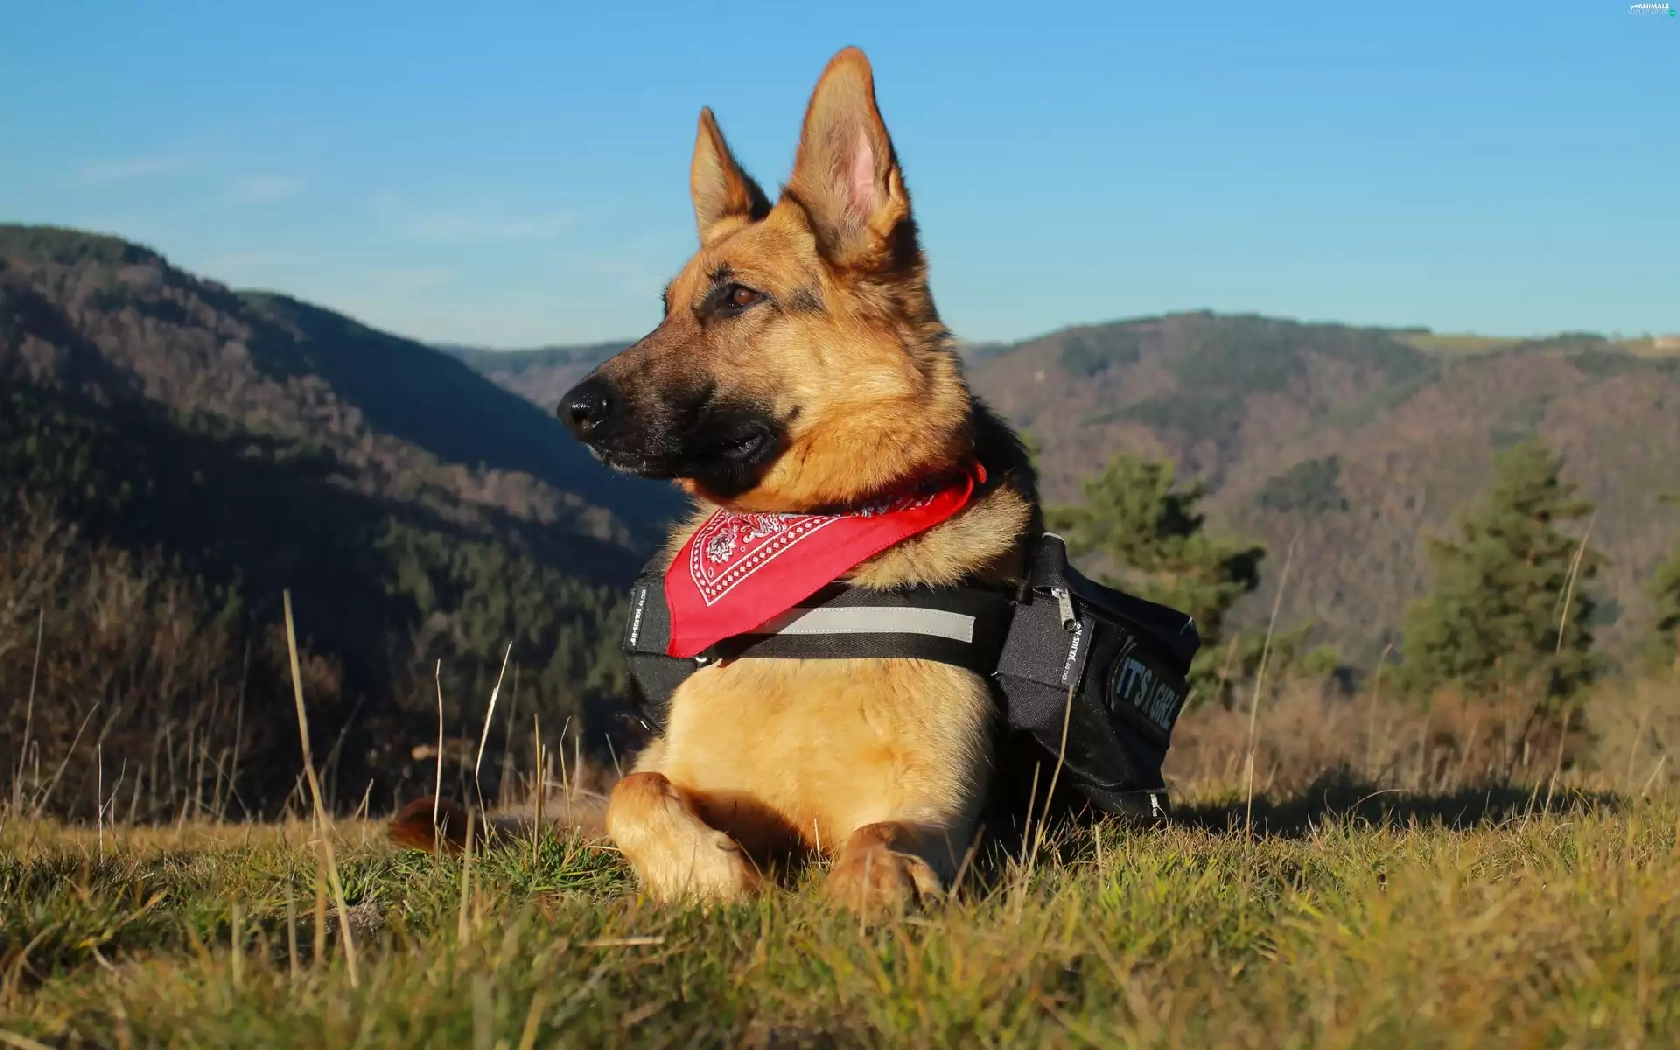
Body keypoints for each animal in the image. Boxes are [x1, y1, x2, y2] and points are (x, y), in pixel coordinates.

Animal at [393, 46, 1043, 915]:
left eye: (738, 296)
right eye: (664, 307)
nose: (571, 411)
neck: (813, 554)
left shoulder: (939, 807)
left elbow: (881, 836)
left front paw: (869, 892)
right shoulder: (669, 771)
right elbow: (634, 792)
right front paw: (709, 873)